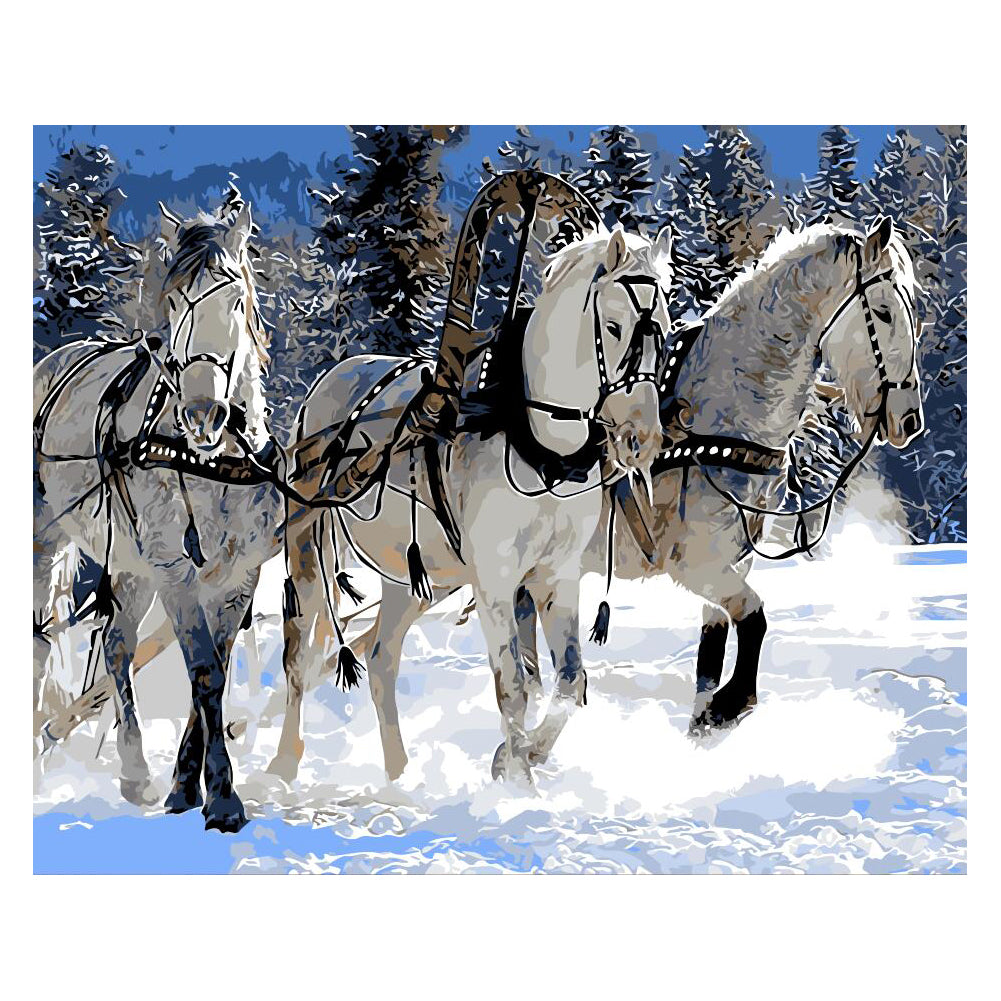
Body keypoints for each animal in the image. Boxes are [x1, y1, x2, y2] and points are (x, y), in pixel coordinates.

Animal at [33, 194, 283, 832]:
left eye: (236, 300)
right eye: (174, 300)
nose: (202, 412)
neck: (212, 462)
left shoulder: (237, 574)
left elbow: (214, 668)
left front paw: (183, 784)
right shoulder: (175, 568)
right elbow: (203, 670)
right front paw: (221, 797)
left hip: (129, 562)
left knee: (116, 645)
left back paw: (133, 769)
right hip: (47, 541)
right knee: (42, 639)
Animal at [270, 177, 673, 787]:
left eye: (665, 330)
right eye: (615, 327)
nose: (640, 438)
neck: (538, 447)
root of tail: (331, 379)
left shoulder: (556, 577)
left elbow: (569, 681)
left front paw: (522, 756)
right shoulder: (496, 579)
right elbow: (514, 686)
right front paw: (518, 780)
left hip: (417, 575)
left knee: (381, 658)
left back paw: (399, 772)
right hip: (310, 547)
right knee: (300, 655)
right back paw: (283, 765)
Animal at [516, 215, 925, 734]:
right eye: (885, 312)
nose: (908, 419)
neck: (721, 423)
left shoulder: (732, 562)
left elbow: (711, 650)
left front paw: (704, 720)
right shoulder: (696, 565)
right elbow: (754, 618)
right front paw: (733, 703)